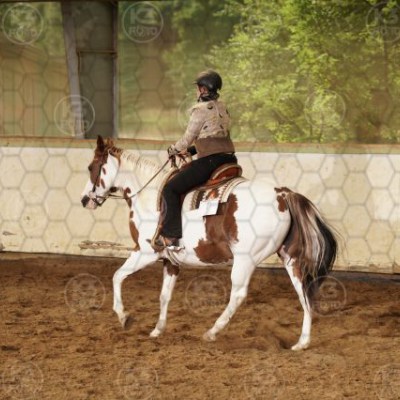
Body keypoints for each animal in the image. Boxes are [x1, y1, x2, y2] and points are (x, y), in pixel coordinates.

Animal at [81, 136, 337, 351]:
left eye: (91, 167)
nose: (85, 200)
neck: (148, 195)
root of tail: (283, 194)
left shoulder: (146, 251)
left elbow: (117, 276)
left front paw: (124, 317)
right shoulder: (170, 262)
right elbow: (164, 296)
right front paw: (157, 329)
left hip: (245, 260)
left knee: (238, 295)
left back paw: (212, 331)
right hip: (289, 258)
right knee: (304, 293)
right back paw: (302, 342)